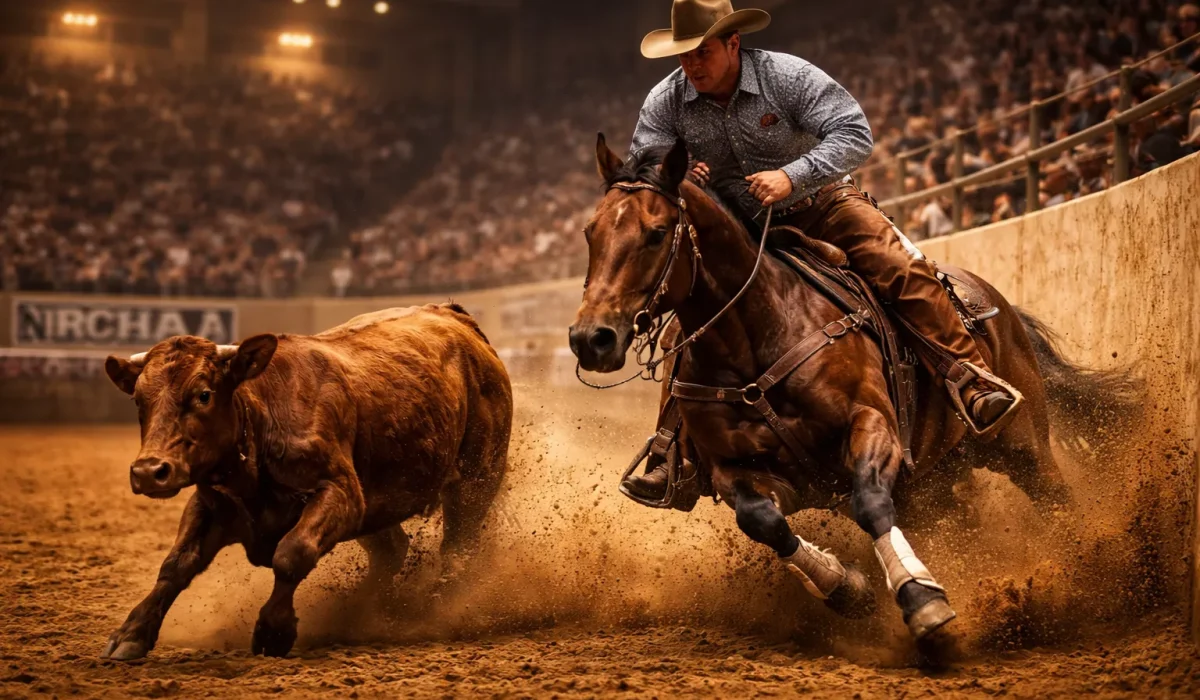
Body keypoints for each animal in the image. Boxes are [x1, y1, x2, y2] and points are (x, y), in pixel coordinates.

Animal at [99, 303, 512, 660]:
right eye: (139, 400)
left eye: (203, 394)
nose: (149, 471)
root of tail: (454, 316)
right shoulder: (210, 503)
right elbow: (176, 565)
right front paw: (131, 633)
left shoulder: (341, 493)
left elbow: (291, 553)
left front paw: (273, 631)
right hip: (379, 508)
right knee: (393, 551)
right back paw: (364, 609)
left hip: (477, 479)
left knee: (457, 550)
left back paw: (434, 607)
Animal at [569, 135, 1109, 643]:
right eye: (590, 232)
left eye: (656, 233)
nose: (591, 338)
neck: (758, 336)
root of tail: (995, 305)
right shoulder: (739, 470)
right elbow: (762, 521)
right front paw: (846, 587)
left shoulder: (870, 423)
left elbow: (869, 502)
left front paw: (922, 600)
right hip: (934, 483)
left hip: (1023, 444)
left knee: (1054, 497)